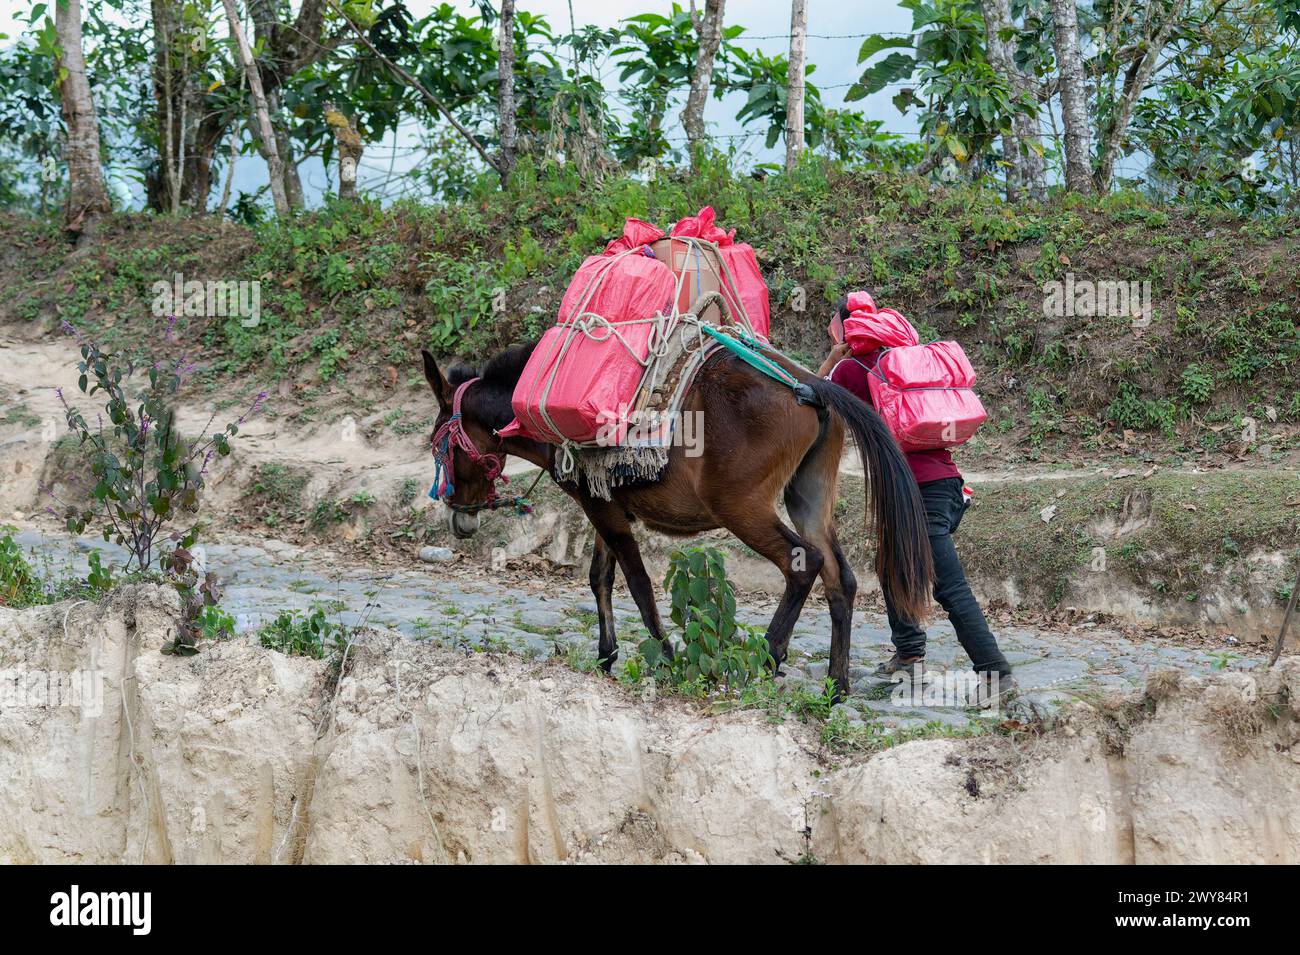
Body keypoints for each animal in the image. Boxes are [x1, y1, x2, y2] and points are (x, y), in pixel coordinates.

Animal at [421, 341, 933, 698]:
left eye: (437, 444)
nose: (459, 520)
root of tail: (809, 384)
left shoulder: (603, 511)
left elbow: (639, 586)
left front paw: (665, 658)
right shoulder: (604, 505)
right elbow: (600, 578)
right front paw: (606, 658)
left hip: (743, 510)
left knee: (801, 564)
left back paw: (767, 658)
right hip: (808, 498)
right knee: (839, 578)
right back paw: (835, 687)